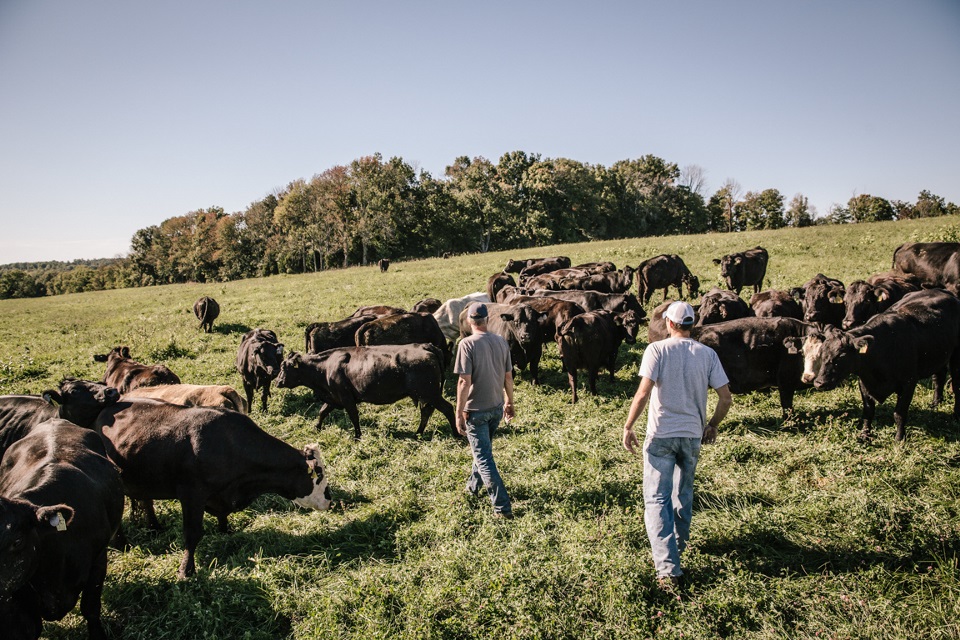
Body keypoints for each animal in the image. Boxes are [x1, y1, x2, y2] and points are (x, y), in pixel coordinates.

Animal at [278, 344, 458, 440]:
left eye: (284, 367)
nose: (278, 381)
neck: (326, 366)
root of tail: (425, 346)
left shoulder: (346, 398)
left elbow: (354, 417)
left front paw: (357, 436)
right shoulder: (334, 398)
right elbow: (322, 412)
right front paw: (316, 427)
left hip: (430, 393)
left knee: (447, 408)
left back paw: (456, 433)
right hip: (426, 395)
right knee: (426, 411)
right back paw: (418, 433)